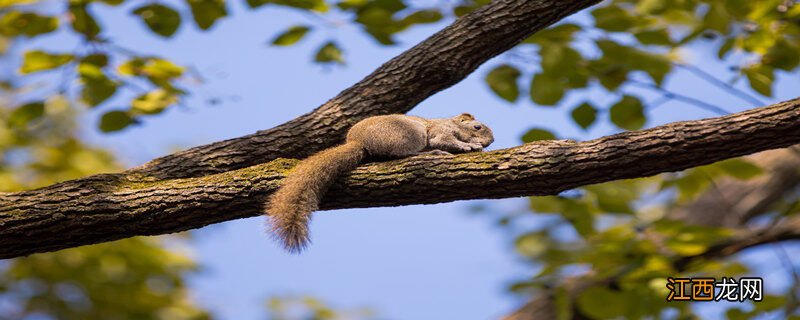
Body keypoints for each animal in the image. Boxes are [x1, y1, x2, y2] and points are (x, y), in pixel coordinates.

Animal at [268, 113, 494, 252]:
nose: (491, 141)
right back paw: (431, 154)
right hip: (409, 135)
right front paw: (469, 145)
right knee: (403, 155)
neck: (451, 122)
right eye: (477, 127)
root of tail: (359, 142)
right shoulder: (441, 131)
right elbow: (445, 141)